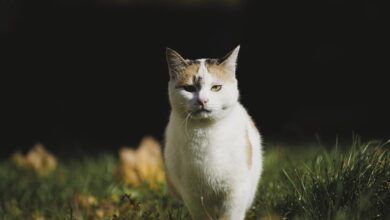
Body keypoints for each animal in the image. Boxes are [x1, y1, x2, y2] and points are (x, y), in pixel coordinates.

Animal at [163, 45, 264, 219]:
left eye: (216, 87)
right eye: (189, 88)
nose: (202, 101)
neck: (206, 133)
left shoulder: (236, 191)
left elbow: (231, 215)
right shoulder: (193, 196)